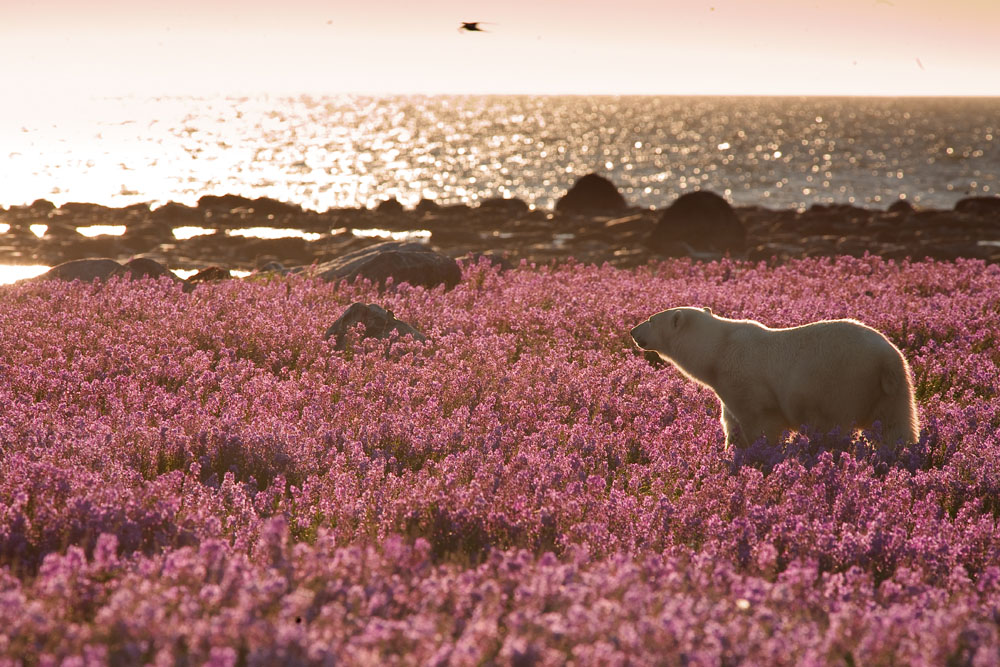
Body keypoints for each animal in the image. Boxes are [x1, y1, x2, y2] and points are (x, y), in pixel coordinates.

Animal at [632, 308, 920, 448]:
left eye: (651, 319)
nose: (633, 330)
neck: (717, 350)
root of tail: (888, 358)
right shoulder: (727, 389)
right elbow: (732, 423)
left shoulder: (745, 381)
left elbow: (761, 423)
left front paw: (760, 458)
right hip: (892, 389)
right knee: (896, 425)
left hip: (841, 382)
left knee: (834, 426)